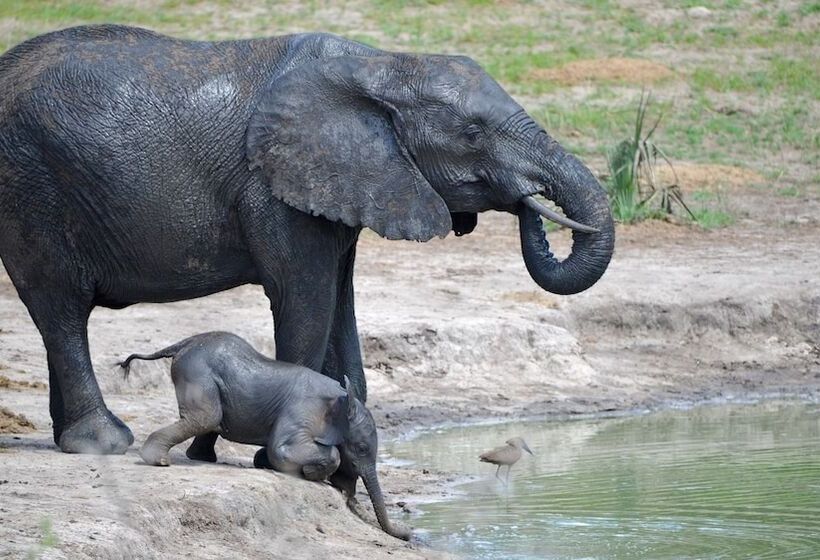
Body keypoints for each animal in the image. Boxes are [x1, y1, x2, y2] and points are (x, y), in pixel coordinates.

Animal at [0, 25, 614, 455]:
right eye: (472, 134)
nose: (529, 198)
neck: (380, 64)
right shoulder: (274, 189)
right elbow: (306, 300)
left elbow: (340, 303)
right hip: (29, 187)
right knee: (60, 308)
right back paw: (102, 444)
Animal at [119, 332, 411, 540]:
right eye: (361, 448)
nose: (408, 533)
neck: (341, 398)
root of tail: (183, 343)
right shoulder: (302, 410)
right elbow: (281, 449)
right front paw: (313, 475)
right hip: (197, 373)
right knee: (206, 417)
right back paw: (158, 461)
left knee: (207, 421)